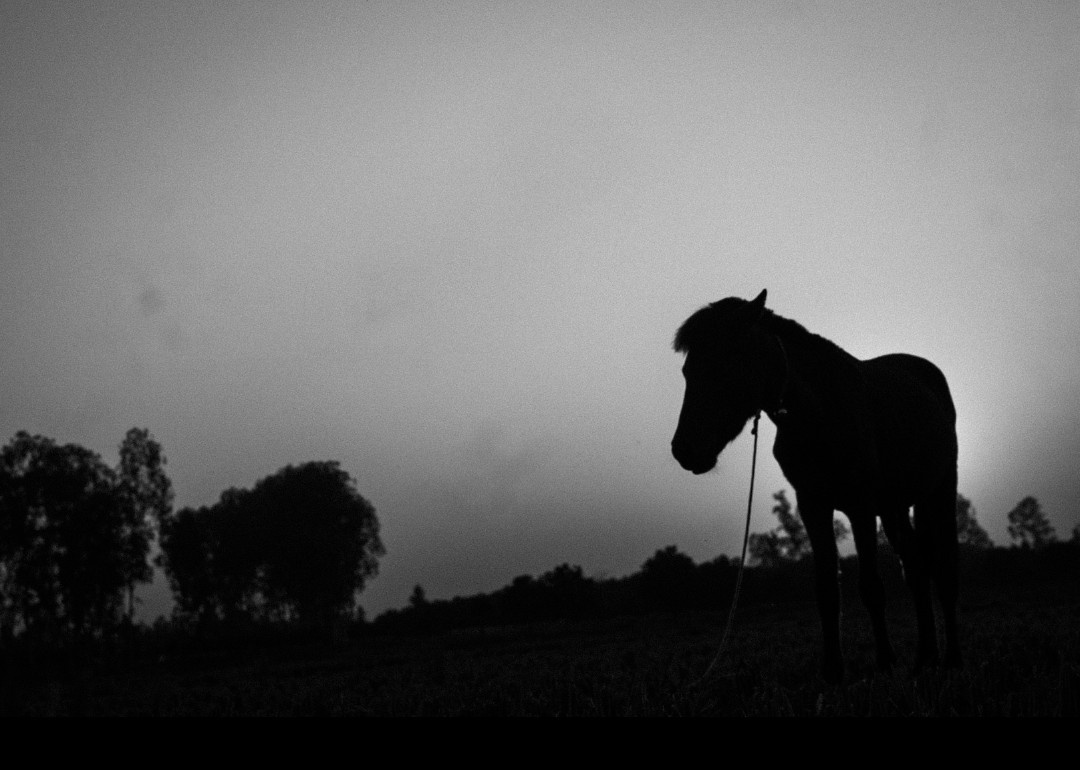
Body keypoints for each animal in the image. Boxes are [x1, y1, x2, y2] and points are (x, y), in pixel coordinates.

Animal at [669, 289, 959, 686]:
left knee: (944, 570)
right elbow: (826, 591)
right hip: (895, 507)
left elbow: (871, 587)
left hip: (938, 493)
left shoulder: (860, 506)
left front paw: (885, 662)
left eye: (723, 367)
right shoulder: (813, 505)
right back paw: (926, 656)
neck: (820, 410)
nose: (684, 450)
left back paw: (951, 658)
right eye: (688, 371)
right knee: (916, 567)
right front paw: (833, 671)